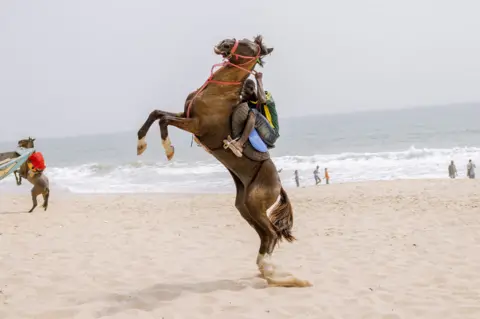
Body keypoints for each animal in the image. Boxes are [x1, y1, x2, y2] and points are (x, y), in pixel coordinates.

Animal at [135, 35, 312, 288]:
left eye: (249, 45)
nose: (224, 42)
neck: (217, 92)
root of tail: (279, 185)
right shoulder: (185, 114)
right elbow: (156, 113)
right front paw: (141, 144)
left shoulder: (195, 124)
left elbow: (164, 120)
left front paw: (168, 149)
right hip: (245, 207)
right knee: (265, 235)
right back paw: (266, 270)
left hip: (255, 204)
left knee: (271, 233)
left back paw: (270, 271)